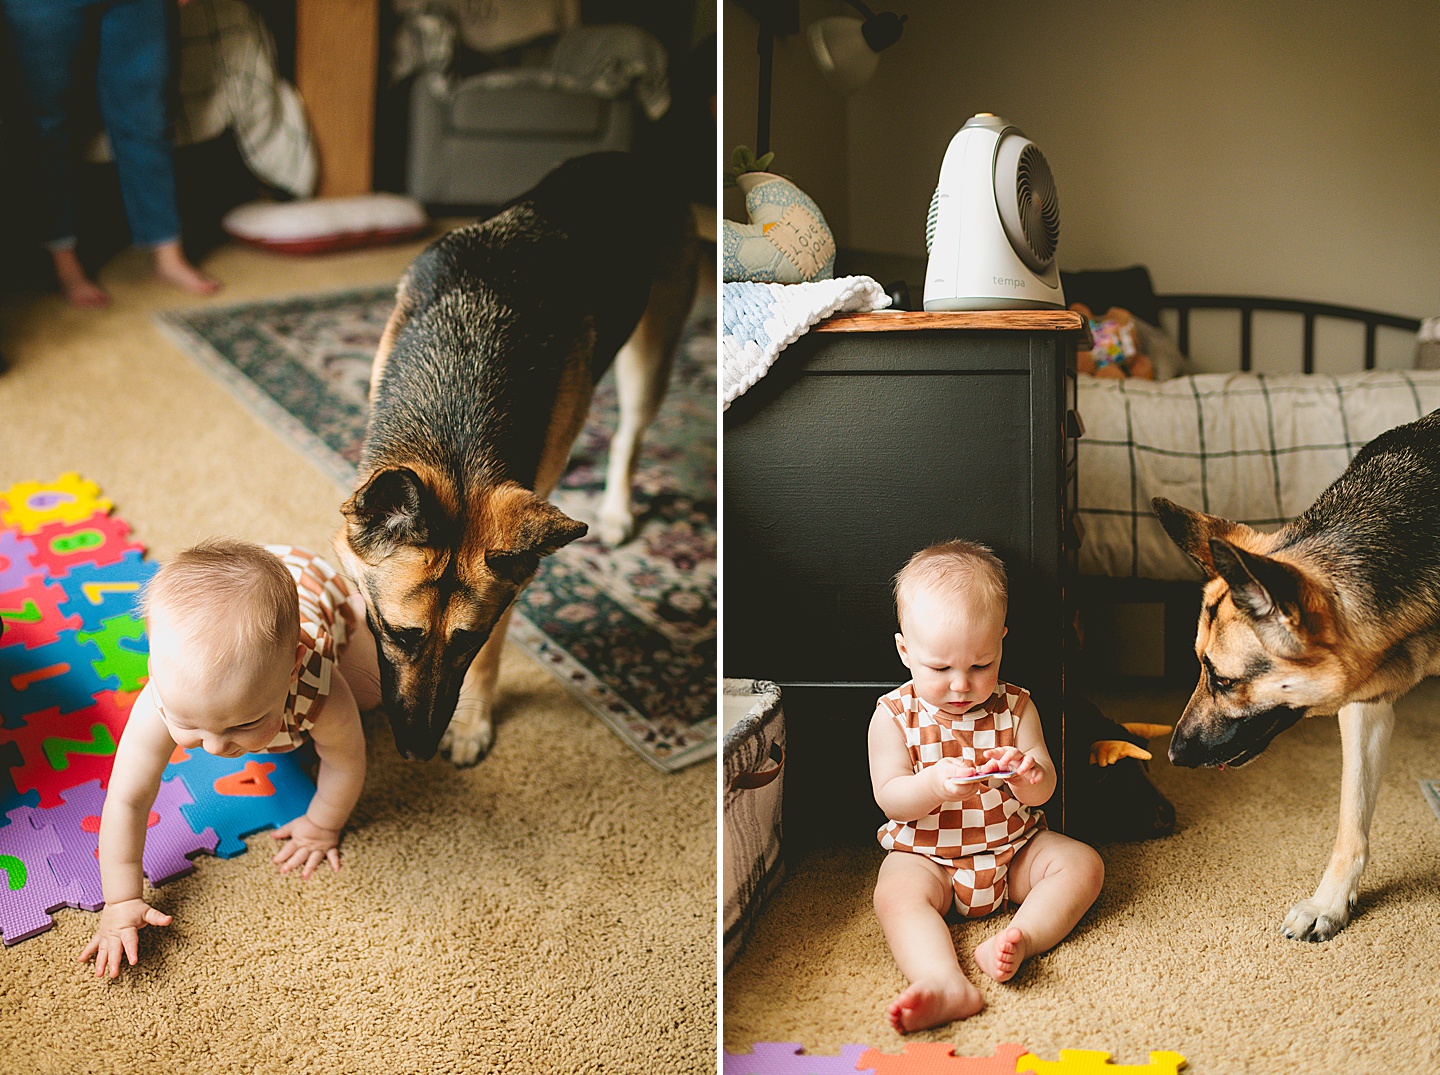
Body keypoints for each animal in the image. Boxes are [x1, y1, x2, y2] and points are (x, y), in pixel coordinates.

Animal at [336, 155, 696, 771]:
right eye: (399, 635)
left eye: (467, 640)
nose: (417, 751)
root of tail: (637, 158)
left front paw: (473, 723)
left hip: (649, 356)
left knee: (628, 433)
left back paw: (616, 509)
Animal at [1152, 408, 1440, 944]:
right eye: (1200, 665)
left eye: (1224, 681)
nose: (1173, 756)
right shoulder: (1364, 708)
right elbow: (1352, 819)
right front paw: (1331, 903)